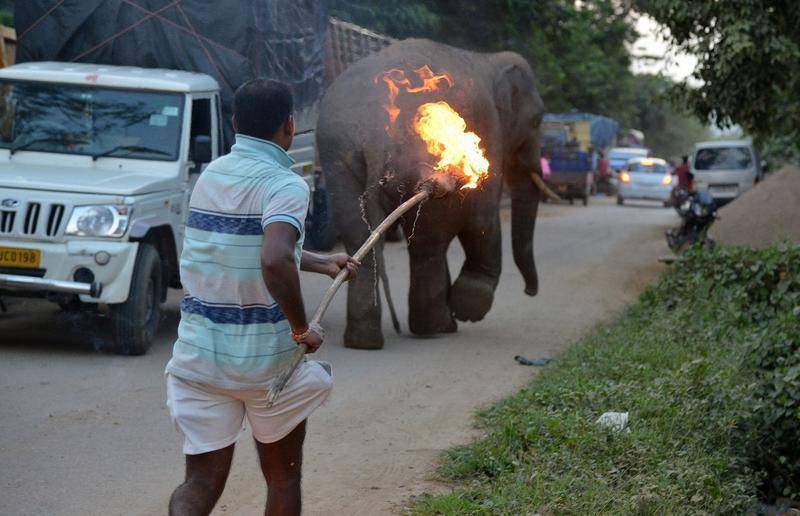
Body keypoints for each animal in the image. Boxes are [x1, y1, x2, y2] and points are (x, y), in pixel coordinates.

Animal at [316, 38, 548, 348]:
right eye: (537, 120)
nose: (530, 292)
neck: (487, 59)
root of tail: (372, 134)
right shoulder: (489, 135)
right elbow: (482, 219)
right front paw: (469, 308)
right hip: (417, 162)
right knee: (428, 243)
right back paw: (432, 327)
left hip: (339, 162)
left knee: (360, 237)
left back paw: (363, 340)